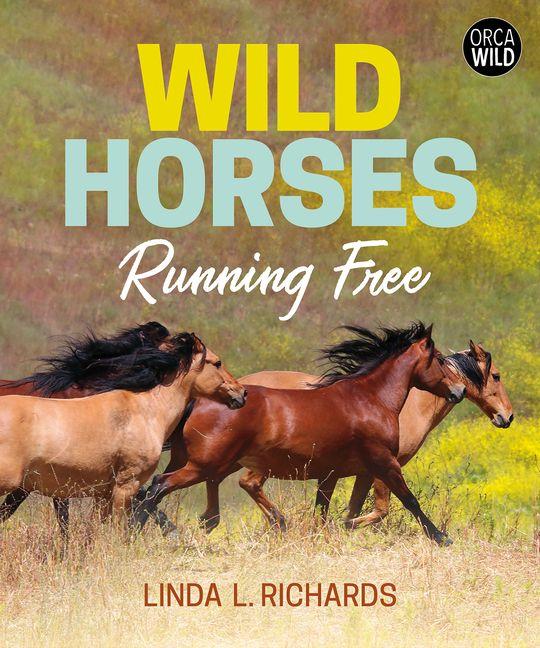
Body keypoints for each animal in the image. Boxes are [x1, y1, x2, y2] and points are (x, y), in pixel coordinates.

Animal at [0, 331, 246, 533]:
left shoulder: (103, 493)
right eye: (217, 363)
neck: (145, 411)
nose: (242, 393)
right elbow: (118, 529)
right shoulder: (126, 485)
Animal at [134, 323, 466, 546]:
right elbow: (409, 500)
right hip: (206, 464)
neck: (371, 398)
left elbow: (325, 509)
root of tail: (199, 401)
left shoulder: (332, 472)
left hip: (207, 462)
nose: (459, 390)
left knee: (159, 492)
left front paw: (328, 534)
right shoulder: (384, 462)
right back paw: (150, 533)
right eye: (439, 359)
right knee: (158, 486)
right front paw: (441, 537)